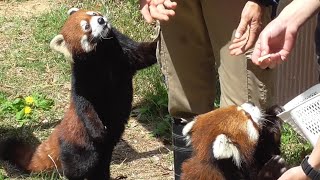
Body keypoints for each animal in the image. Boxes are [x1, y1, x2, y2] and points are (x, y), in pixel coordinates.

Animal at [0, 7, 158, 179]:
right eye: (86, 28)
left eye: (93, 14)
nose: (101, 20)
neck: (103, 52)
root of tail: (58, 135)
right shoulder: (83, 76)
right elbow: (84, 104)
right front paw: (98, 131)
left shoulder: (124, 53)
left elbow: (144, 54)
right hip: (79, 148)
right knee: (78, 167)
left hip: (103, 153)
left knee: (101, 164)